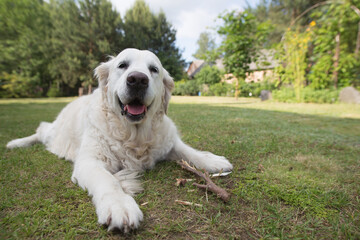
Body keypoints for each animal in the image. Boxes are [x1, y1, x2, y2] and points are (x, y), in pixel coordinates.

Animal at [6, 49, 233, 232]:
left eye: (153, 69)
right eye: (122, 65)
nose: (138, 79)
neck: (134, 135)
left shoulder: (168, 141)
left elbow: (189, 151)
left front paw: (213, 161)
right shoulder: (89, 161)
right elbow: (108, 180)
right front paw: (120, 206)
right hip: (54, 133)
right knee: (41, 130)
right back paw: (16, 143)